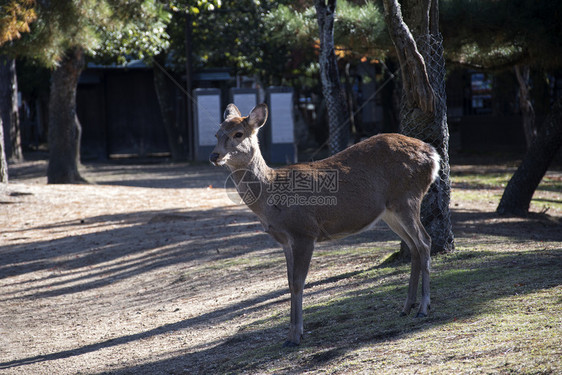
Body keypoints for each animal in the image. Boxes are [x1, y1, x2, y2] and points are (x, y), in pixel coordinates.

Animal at [208, 102, 440, 346]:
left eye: (238, 134)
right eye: (216, 134)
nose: (214, 155)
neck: (272, 198)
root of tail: (433, 155)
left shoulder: (304, 232)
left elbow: (298, 282)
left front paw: (295, 336)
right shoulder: (285, 241)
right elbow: (289, 282)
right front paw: (291, 334)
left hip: (407, 197)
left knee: (425, 241)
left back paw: (423, 307)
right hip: (390, 211)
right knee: (413, 246)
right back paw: (406, 307)